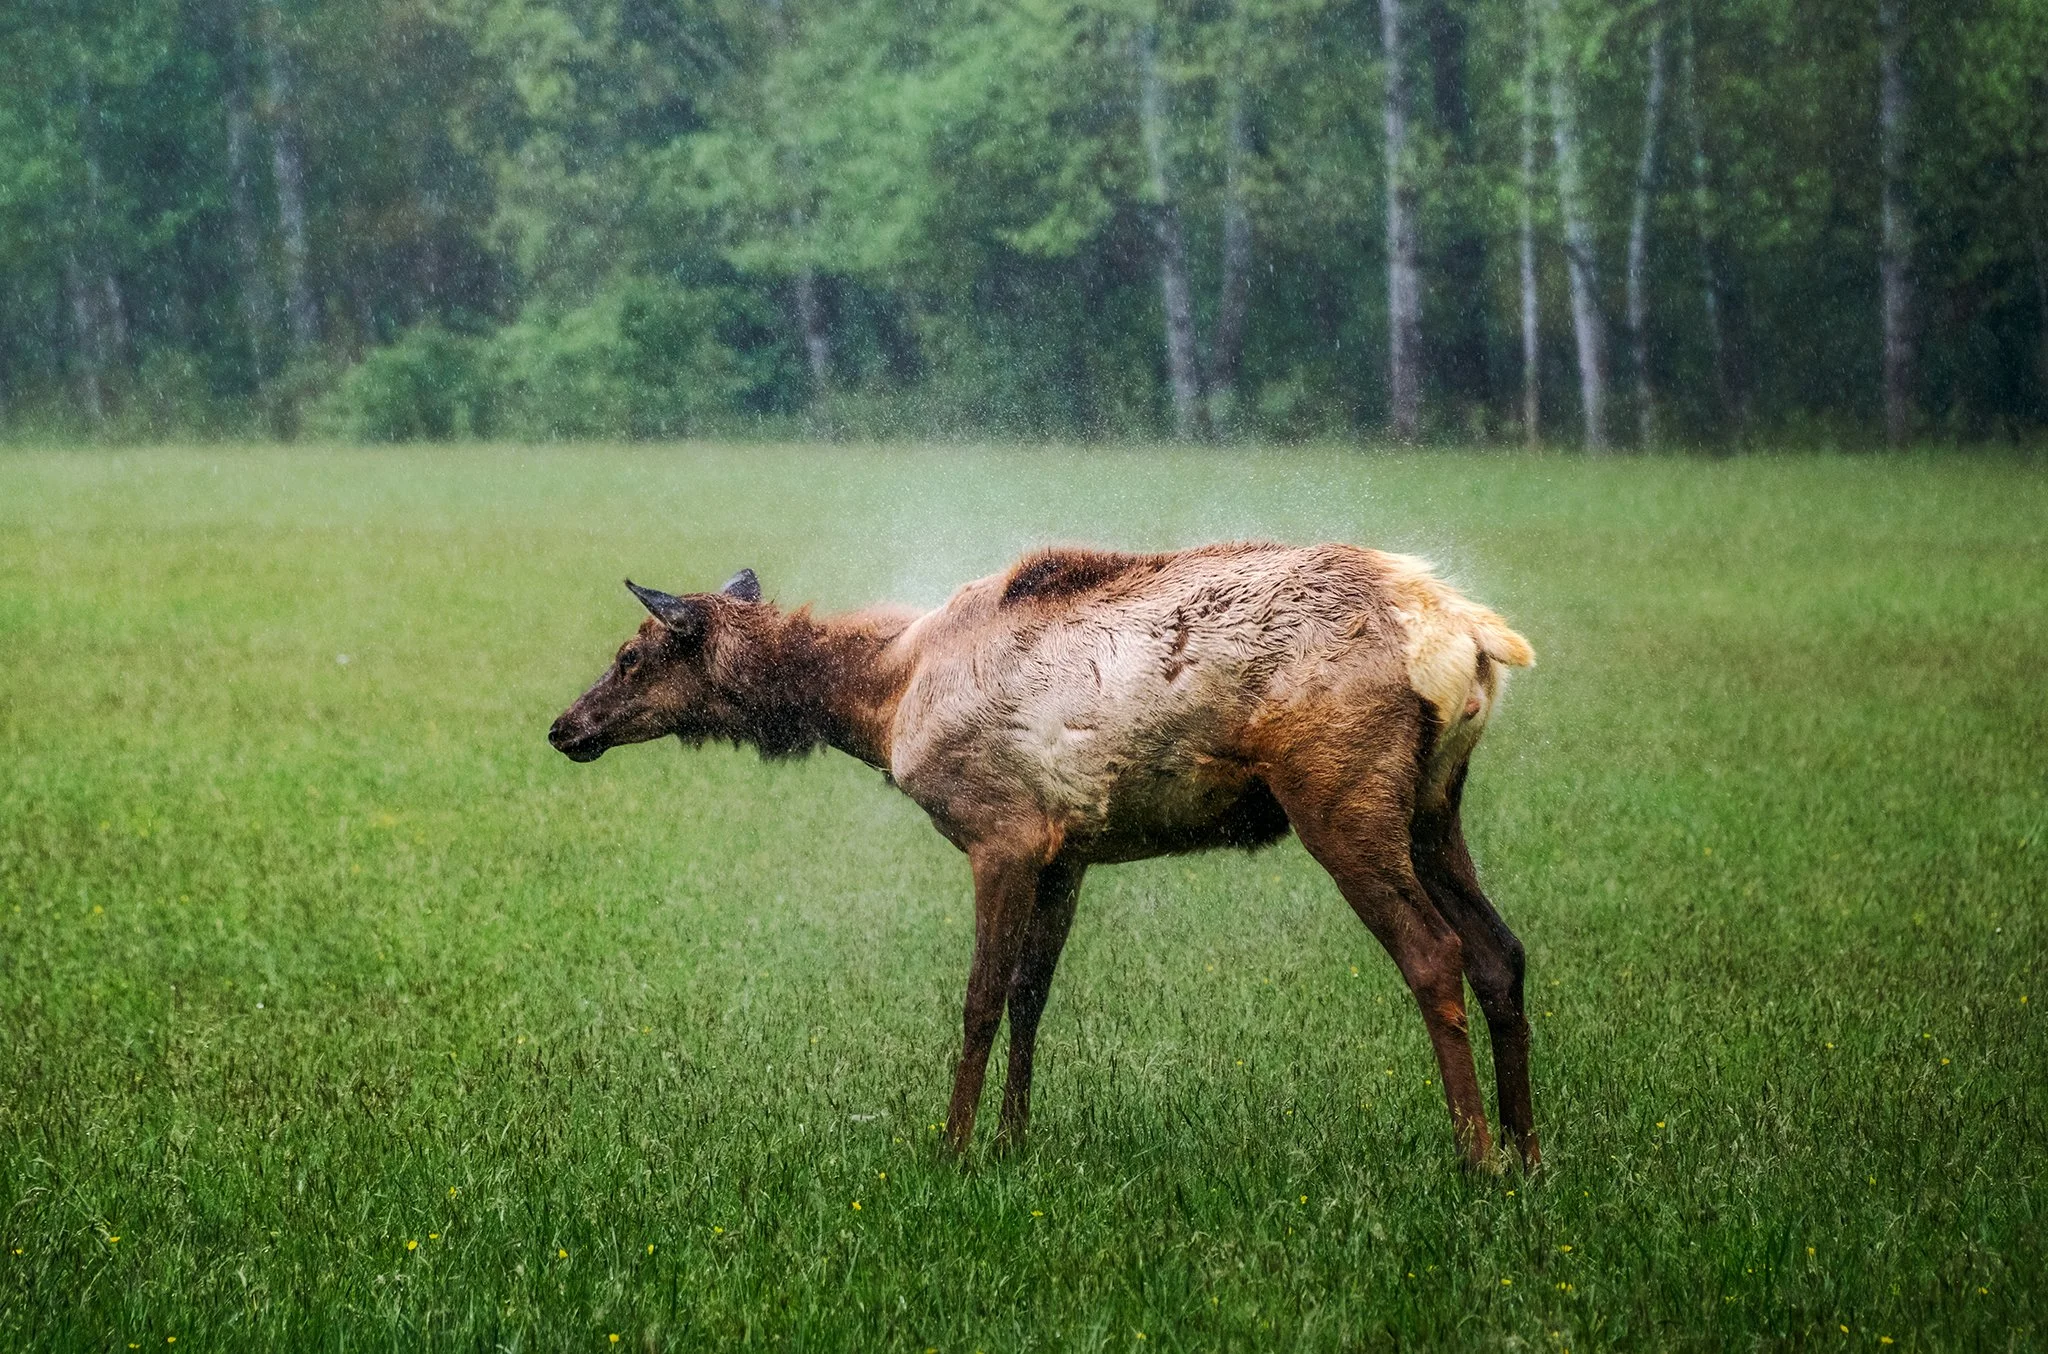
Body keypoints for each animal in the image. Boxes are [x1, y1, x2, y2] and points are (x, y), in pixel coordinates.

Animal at [547, 542, 1539, 1170]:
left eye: (631, 656)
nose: (564, 728)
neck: (881, 705)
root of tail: (1474, 637)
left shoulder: (1002, 835)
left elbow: (980, 1000)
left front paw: (951, 1148)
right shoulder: (1069, 852)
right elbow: (1032, 997)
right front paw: (1011, 1143)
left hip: (1340, 796)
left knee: (1434, 952)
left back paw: (1476, 1159)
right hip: (1434, 809)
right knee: (1502, 952)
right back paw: (1529, 1154)